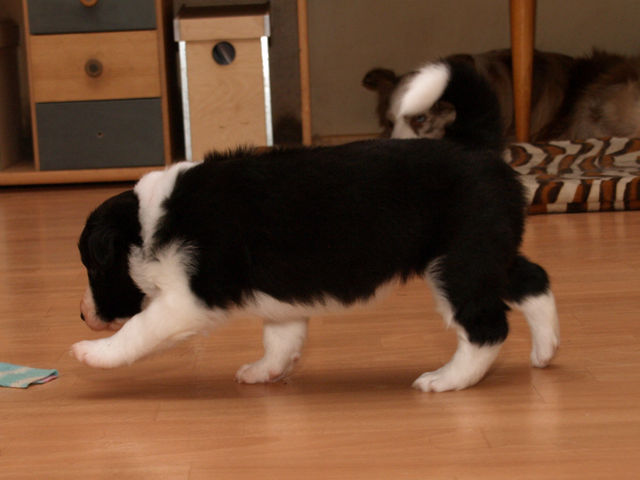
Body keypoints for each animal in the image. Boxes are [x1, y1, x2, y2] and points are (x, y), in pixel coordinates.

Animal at [73, 64, 559, 393]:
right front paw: (265, 371)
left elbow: (139, 329)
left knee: (487, 327)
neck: (146, 223)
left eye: (94, 268)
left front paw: (92, 353)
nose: (82, 316)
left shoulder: (187, 300)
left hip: (458, 264)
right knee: (534, 279)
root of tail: (473, 146)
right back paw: (546, 350)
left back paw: (447, 379)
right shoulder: (279, 297)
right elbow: (280, 339)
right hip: (487, 251)